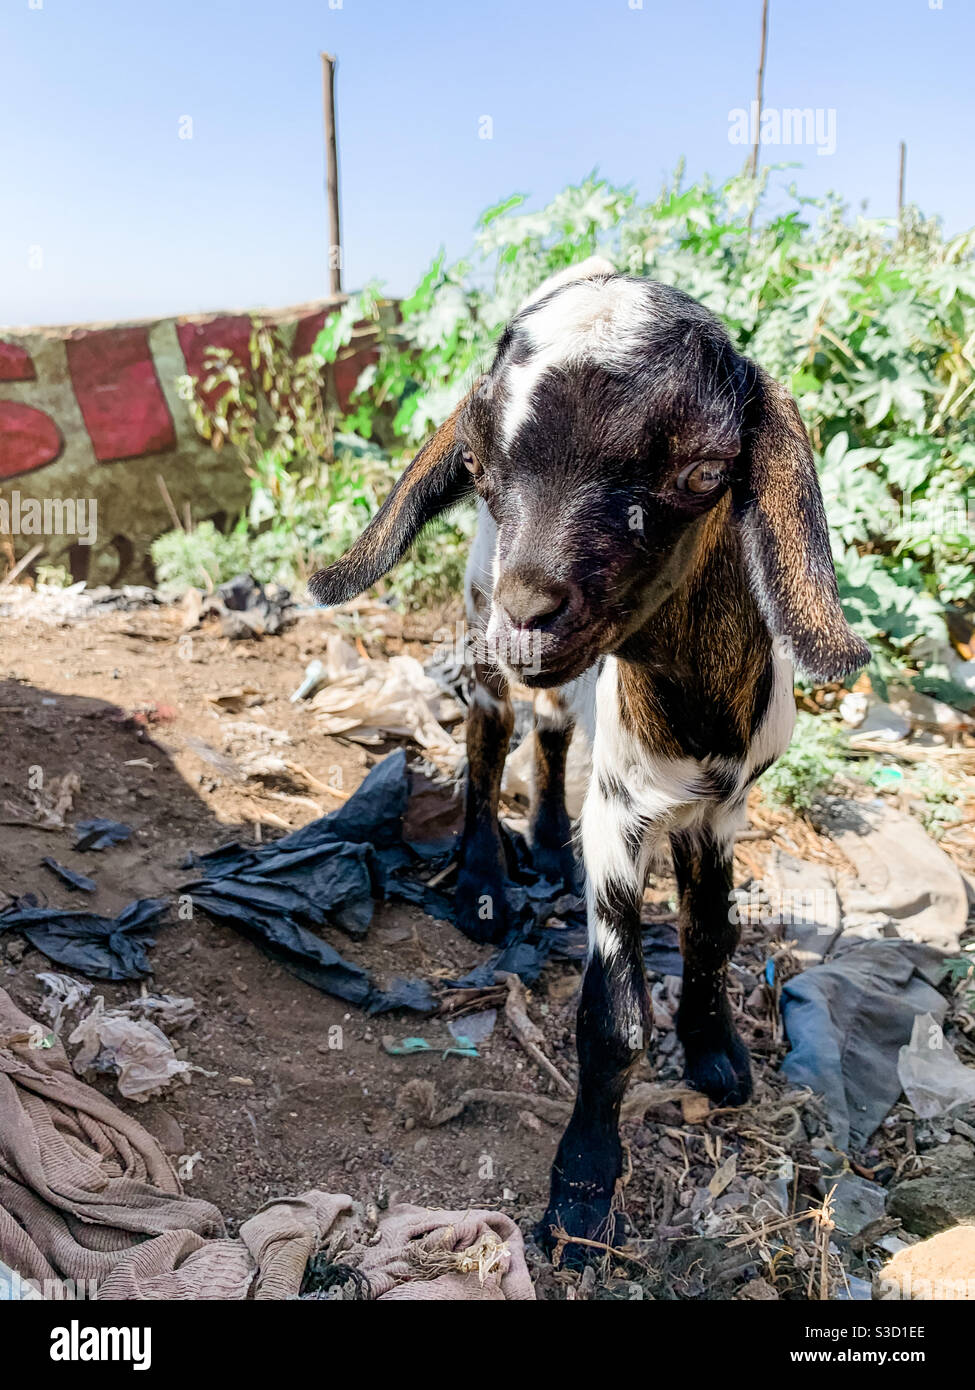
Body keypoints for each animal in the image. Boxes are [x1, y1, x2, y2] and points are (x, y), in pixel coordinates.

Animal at [305, 261, 867, 1262]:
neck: (692, 713)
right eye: (476, 466)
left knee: (552, 726)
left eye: (702, 471)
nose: (529, 613)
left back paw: (544, 846)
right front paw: (580, 1193)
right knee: (490, 736)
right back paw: (486, 881)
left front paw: (717, 1056)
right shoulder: (621, 817)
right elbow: (612, 1021)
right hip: (477, 627)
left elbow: (711, 934)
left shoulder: (720, 809)